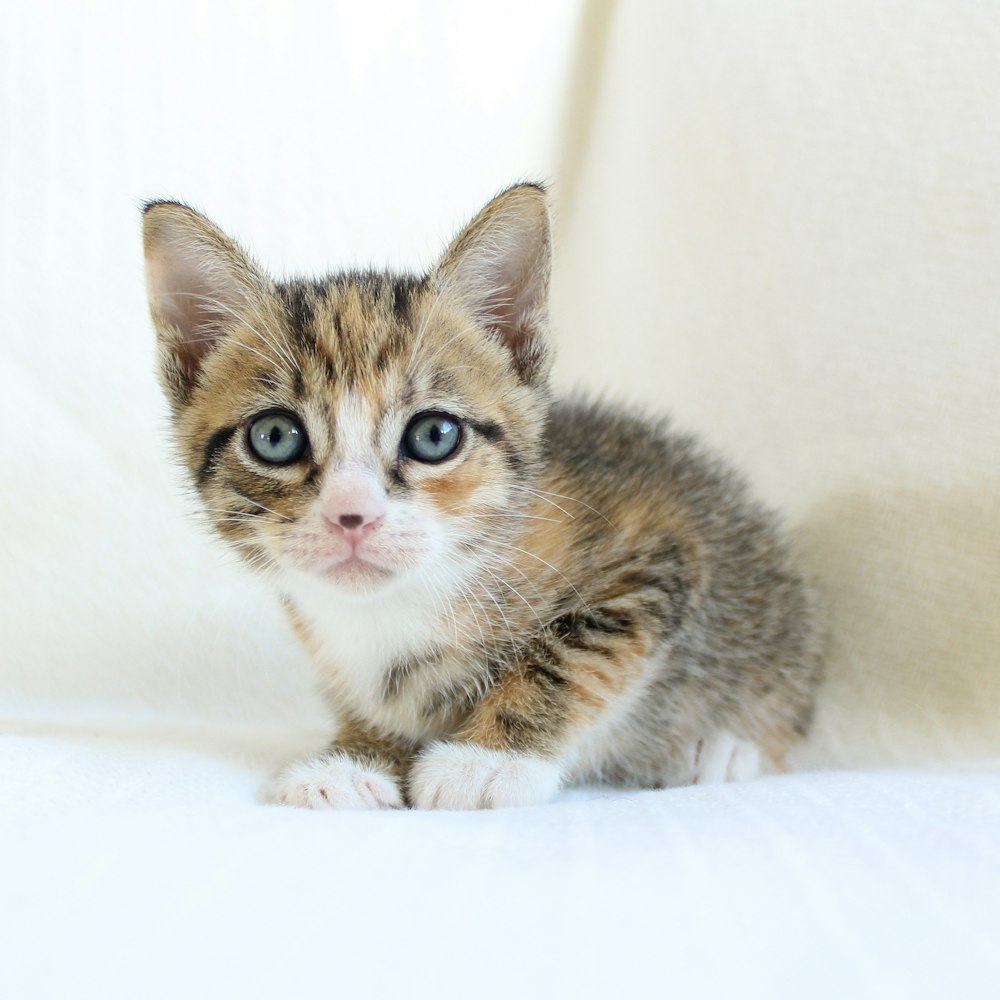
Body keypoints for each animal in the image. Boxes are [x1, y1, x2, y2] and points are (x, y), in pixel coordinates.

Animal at [145, 184, 824, 812]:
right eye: (275, 437)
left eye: (434, 435)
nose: (351, 515)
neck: (399, 607)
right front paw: (356, 754)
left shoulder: (655, 553)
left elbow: (571, 652)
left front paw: (486, 760)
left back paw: (720, 752)